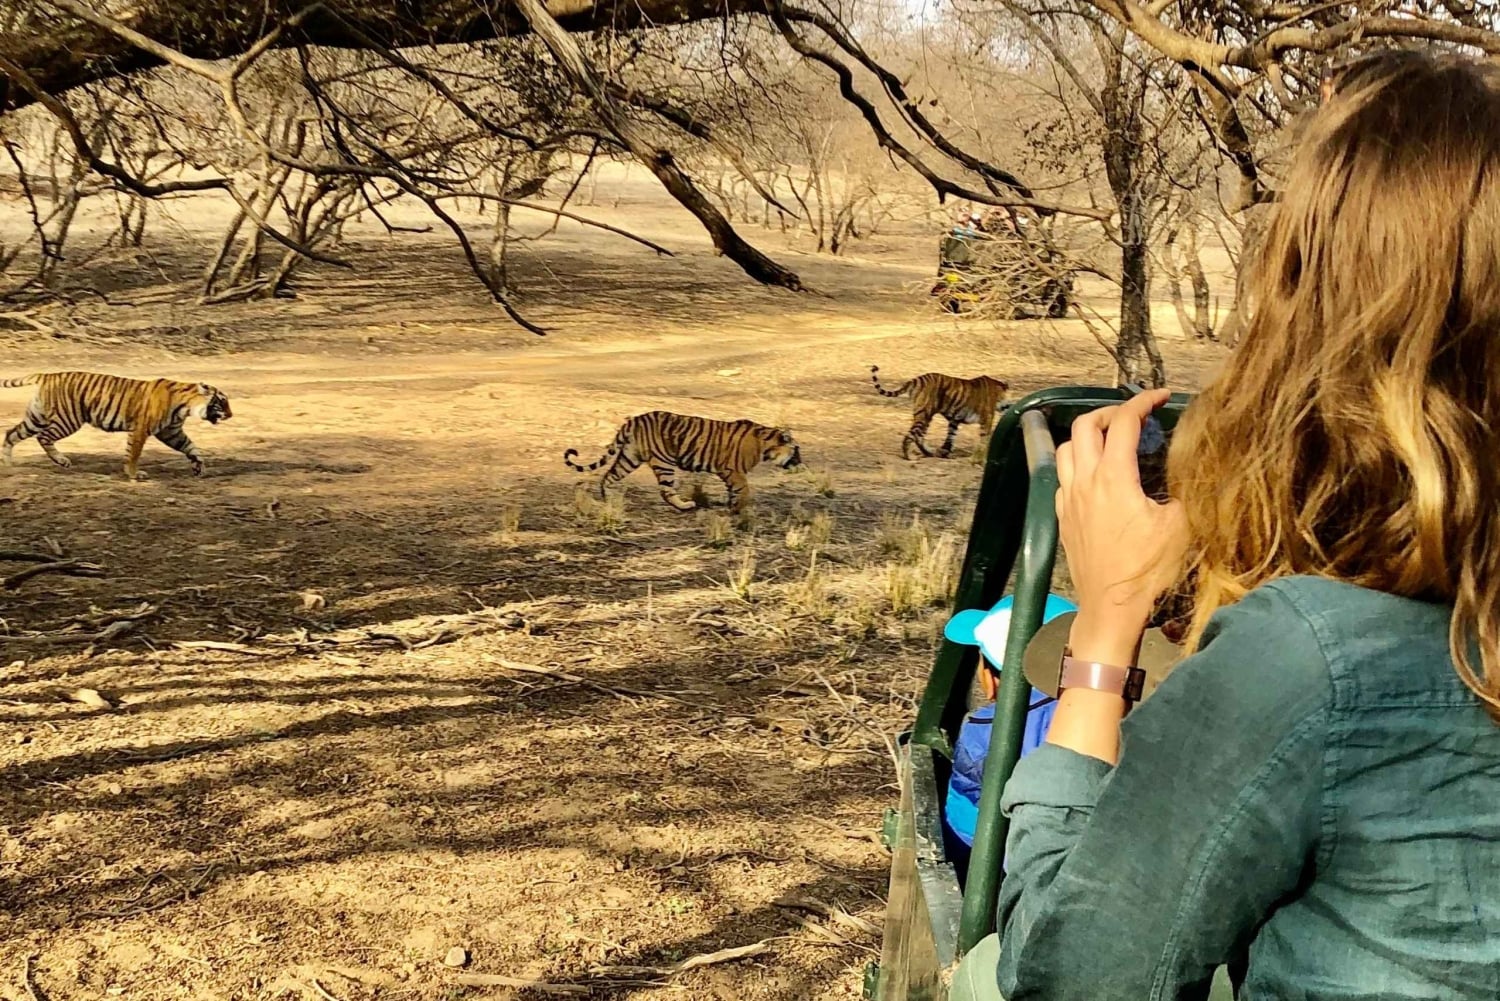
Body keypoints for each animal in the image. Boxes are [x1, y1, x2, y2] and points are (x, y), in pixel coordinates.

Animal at [1, 371, 232, 480]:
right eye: (222, 402)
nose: (231, 415)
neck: (186, 406)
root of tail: (47, 375)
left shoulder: (172, 432)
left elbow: (191, 447)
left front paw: (199, 467)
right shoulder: (141, 429)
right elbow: (134, 454)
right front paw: (134, 475)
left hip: (36, 418)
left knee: (11, 433)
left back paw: (7, 463)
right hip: (68, 420)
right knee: (43, 437)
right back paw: (62, 460)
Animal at [564, 411, 802, 513]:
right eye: (797, 451)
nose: (801, 463)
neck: (765, 446)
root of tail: (634, 421)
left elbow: (735, 492)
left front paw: (733, 506)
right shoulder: (733, 471)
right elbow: (743, 490)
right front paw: (740, 510)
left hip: (630, 457)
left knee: (608, 477)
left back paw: (609, 501)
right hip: (664, 462)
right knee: (666, 491)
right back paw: (686, 505)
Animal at [870, 366, 1008, 459]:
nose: (1008, 407)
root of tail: (915, 380)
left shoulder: (954, 420)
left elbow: (950, 436)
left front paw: (945, 451)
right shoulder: (987, 418)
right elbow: (986, 437)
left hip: (926, 416)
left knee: (919, 437)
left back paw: (929, 453)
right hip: (924, 414)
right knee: (910, 436)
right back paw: (909, 457)